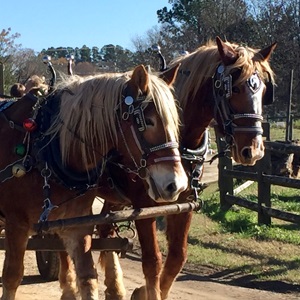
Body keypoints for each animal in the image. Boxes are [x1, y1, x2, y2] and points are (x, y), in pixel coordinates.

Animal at [0, 64, 188, 298]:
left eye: (175, 123)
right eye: (149, 122)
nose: (177, 185)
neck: (47, 151)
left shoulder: (78, 225)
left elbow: (88, 277)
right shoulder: (16, 225)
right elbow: (11, 277)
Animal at [85, 37, 276, 300]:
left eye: (264, 90)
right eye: (234, 88)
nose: (254, 150)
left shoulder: (184, 203)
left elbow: (177, 258)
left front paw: (144, 291)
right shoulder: (144, 207)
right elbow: (152, 261)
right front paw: (148, 291)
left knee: (105, 231)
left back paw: (115, 288)